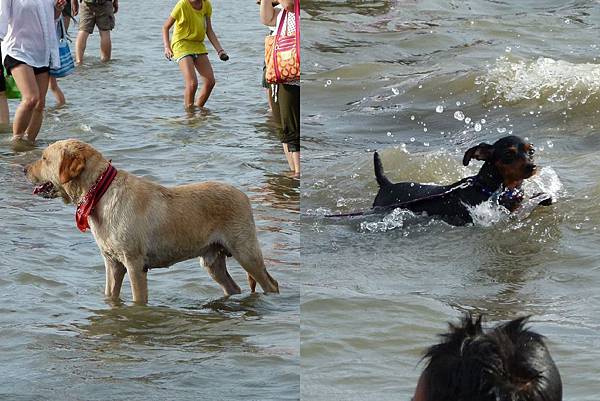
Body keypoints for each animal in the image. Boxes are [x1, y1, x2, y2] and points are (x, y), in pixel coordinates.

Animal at [25, 139, 278, 302]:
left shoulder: (134, 264)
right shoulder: (112, 263)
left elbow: (138, 299)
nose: (25, 169)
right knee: (233, 287)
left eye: (44, 158)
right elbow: (110, 295)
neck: (99, 192)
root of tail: (243, 195)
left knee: (270, 284)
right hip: (212, 261)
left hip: (246, 252)